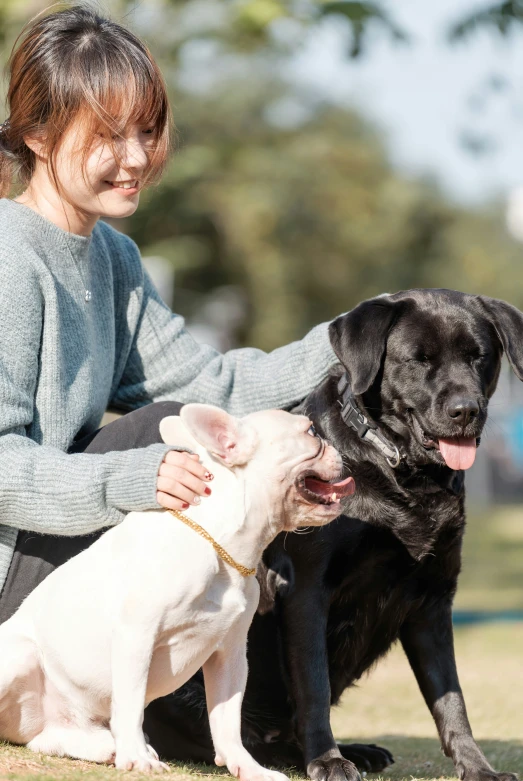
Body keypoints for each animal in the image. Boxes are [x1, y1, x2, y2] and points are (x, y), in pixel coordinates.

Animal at [0, 406, 356, 776]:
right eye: (311, 431)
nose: (337, 448)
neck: (222, 546)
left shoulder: (230, 655)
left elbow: (228, 721)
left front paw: (248, 767)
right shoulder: (136, 635)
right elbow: (131, 704)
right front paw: (137, 757)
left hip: (55, 724)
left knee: (46, 739)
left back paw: (103, 747)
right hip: (21, 655)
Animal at [144, 290, 523, 780]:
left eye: (480, 357)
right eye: (418, 359)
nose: (466, 411)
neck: (400, 474)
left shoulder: (433, 600)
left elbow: (450, 698)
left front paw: (478, 768)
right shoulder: (305, 590)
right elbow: (314, 686)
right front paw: (327, 760)